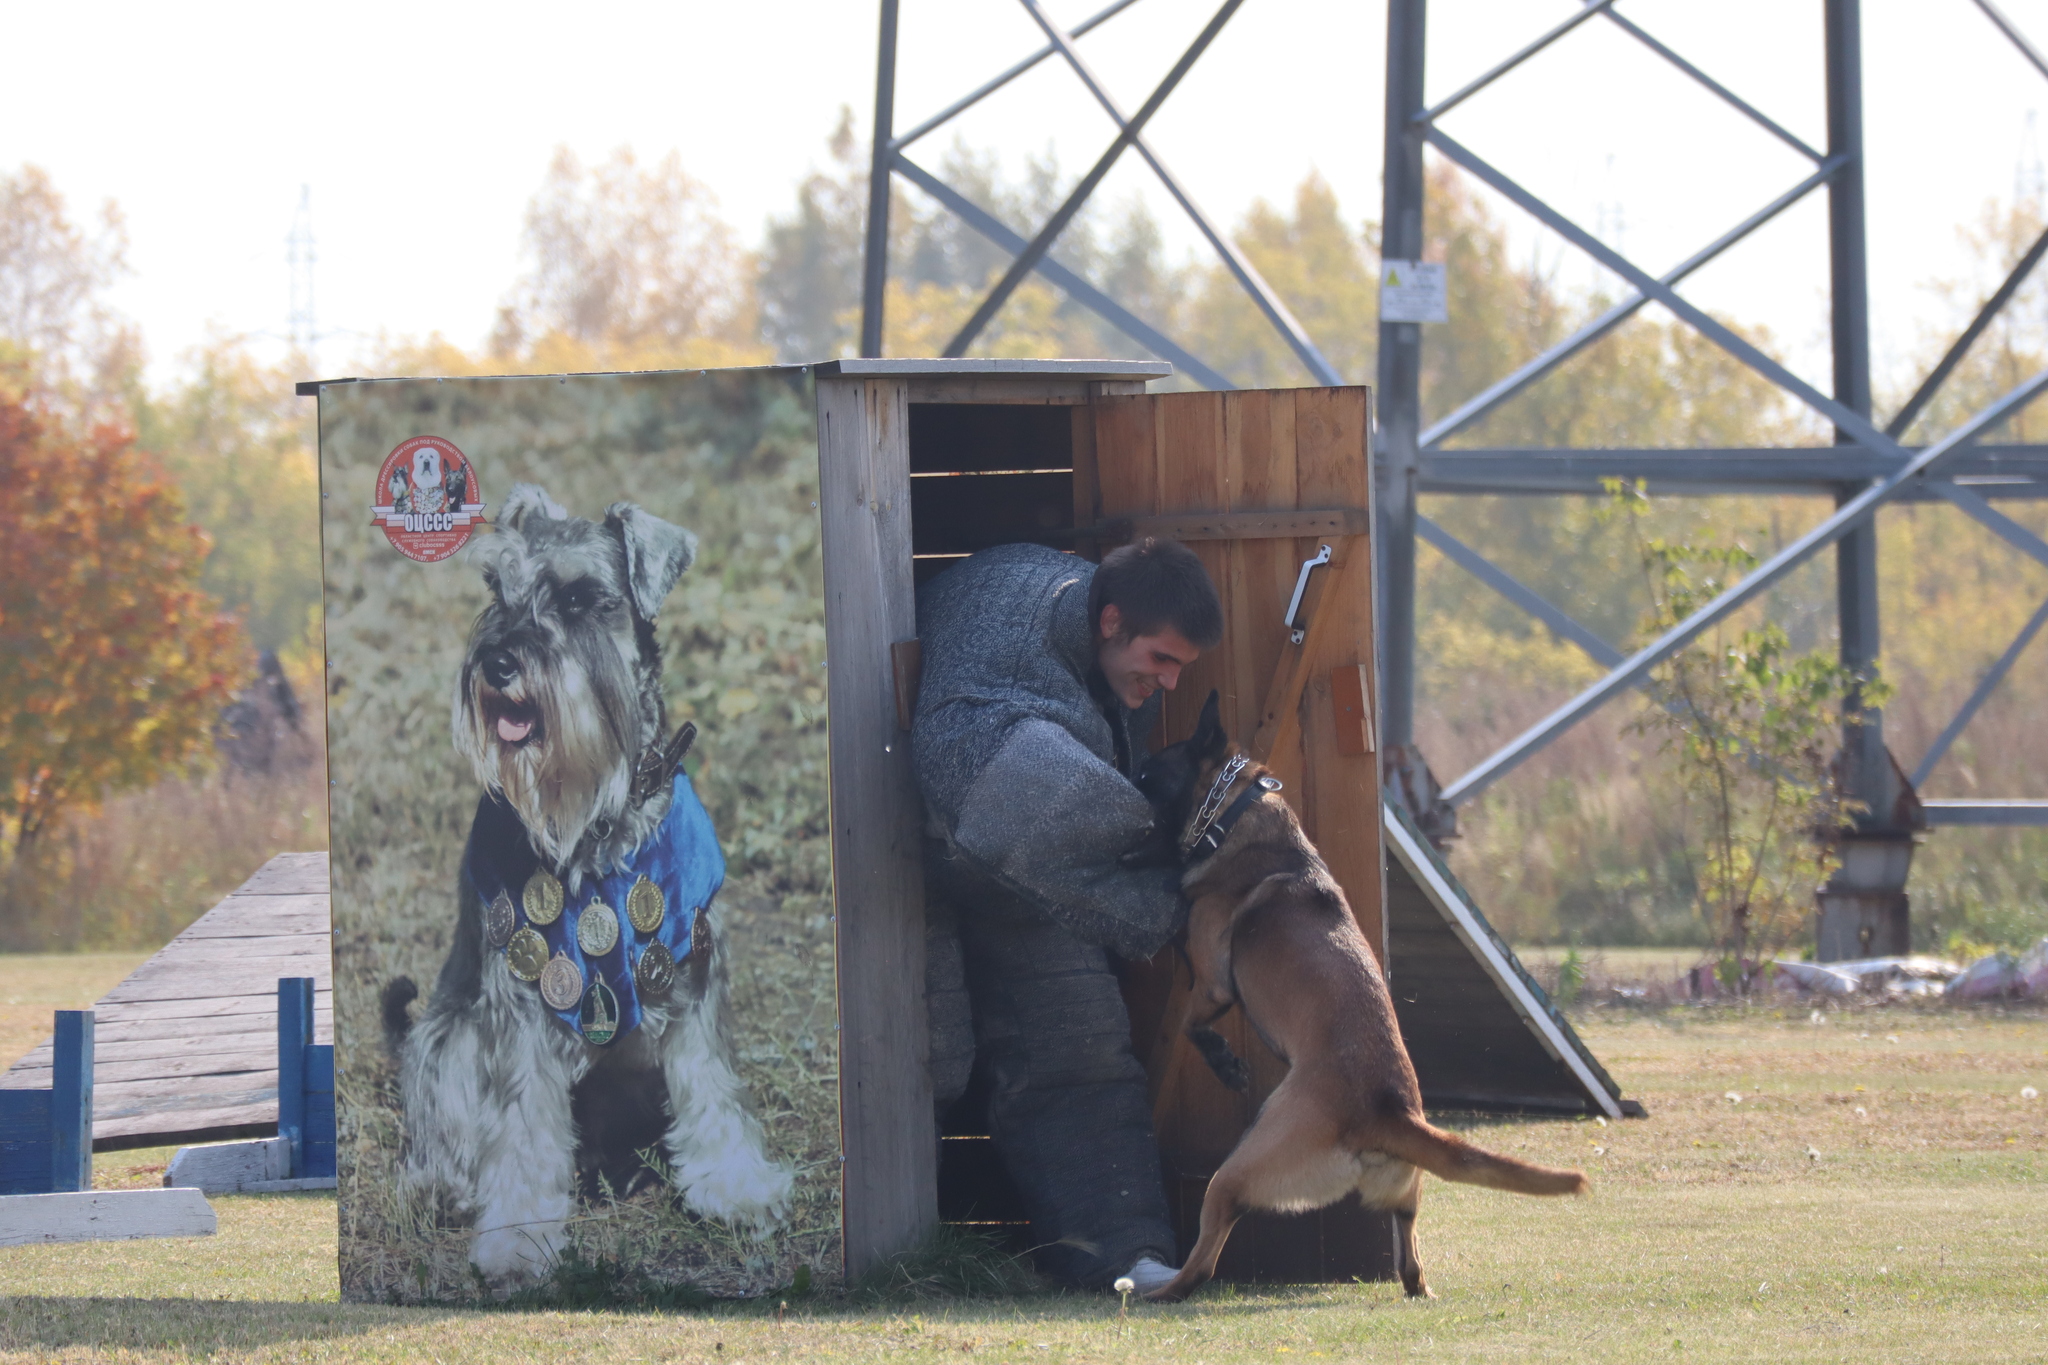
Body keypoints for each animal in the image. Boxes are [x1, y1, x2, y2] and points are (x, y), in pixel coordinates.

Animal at [1122, 695, 1581, 1301]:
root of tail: (1389, 1113)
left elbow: (1195, 1023)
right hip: (1404, 1199)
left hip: (1236, 1170)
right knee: (1412, 1261)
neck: (1233, 814)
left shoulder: (1215, 979)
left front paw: (1224, 1063)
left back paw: (1157, 1292)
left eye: (1148, 776)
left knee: (1203, 1260)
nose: (1119, 787)